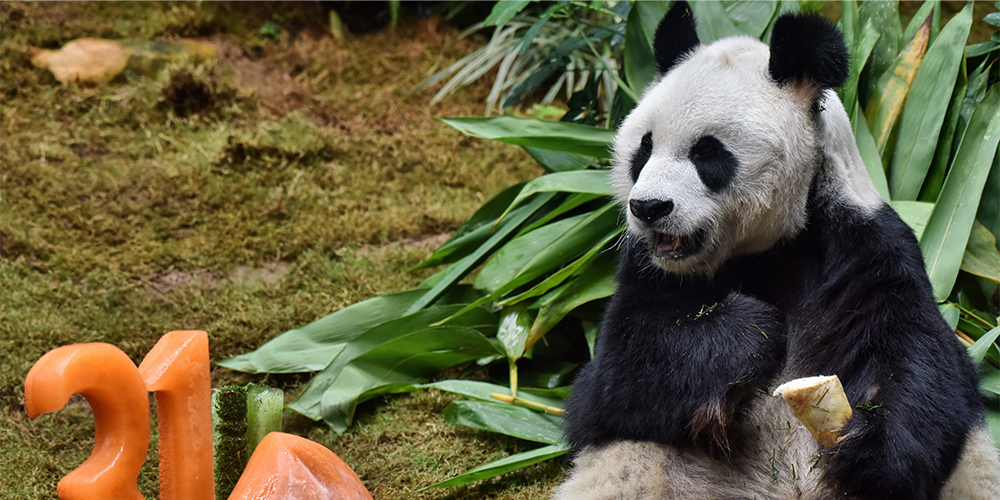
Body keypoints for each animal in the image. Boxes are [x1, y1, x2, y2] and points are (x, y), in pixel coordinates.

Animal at [556, 3, 1000, 500]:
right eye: (644, 147)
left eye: (707, 153)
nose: (649, 208)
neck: (761, 250)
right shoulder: (646, 271)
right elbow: (614, 380)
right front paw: (751, 330)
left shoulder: (865, 246)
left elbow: (922, 361)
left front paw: (869, 450)